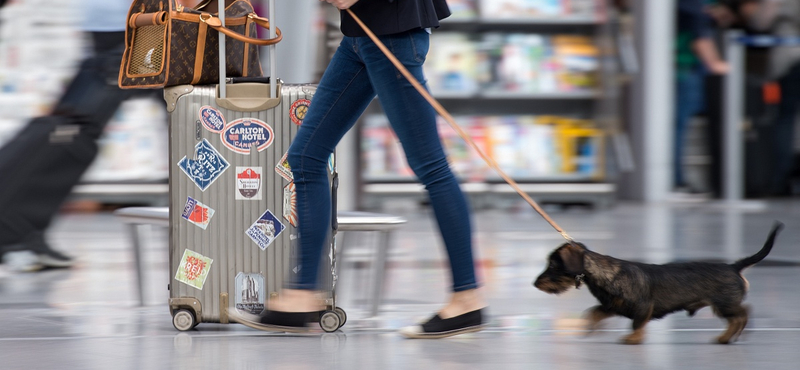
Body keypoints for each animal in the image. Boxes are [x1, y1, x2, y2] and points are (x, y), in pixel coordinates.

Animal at [532, 221, 780, 346]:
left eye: (552, 265)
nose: (535, 284)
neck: (605, 274)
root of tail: (734, 267)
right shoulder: (612, 306)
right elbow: (593, 312)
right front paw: (589, 327)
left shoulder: (642, 307)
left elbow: (636, 324)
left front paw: (633, 339)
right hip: (724, 305)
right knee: (741, 314)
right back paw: (729, 336)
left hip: (724, 304)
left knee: (743, 313)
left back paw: (728, 336)